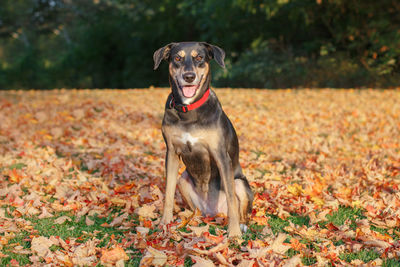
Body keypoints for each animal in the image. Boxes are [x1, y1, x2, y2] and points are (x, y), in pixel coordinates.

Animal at [153, 40, 253, 238]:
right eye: (177, 58)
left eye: (199, 57)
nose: (189, 76)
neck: (189, 111)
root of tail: (214, 212)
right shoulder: (171, 153)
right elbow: (168, 192)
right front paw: (165, 223)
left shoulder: (221, 156)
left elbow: (231, 199)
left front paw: (234, 233)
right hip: (183, 180)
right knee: (196, 208)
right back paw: (192, 219)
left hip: (240, 183)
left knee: (239, 206)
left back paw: (242, 225)